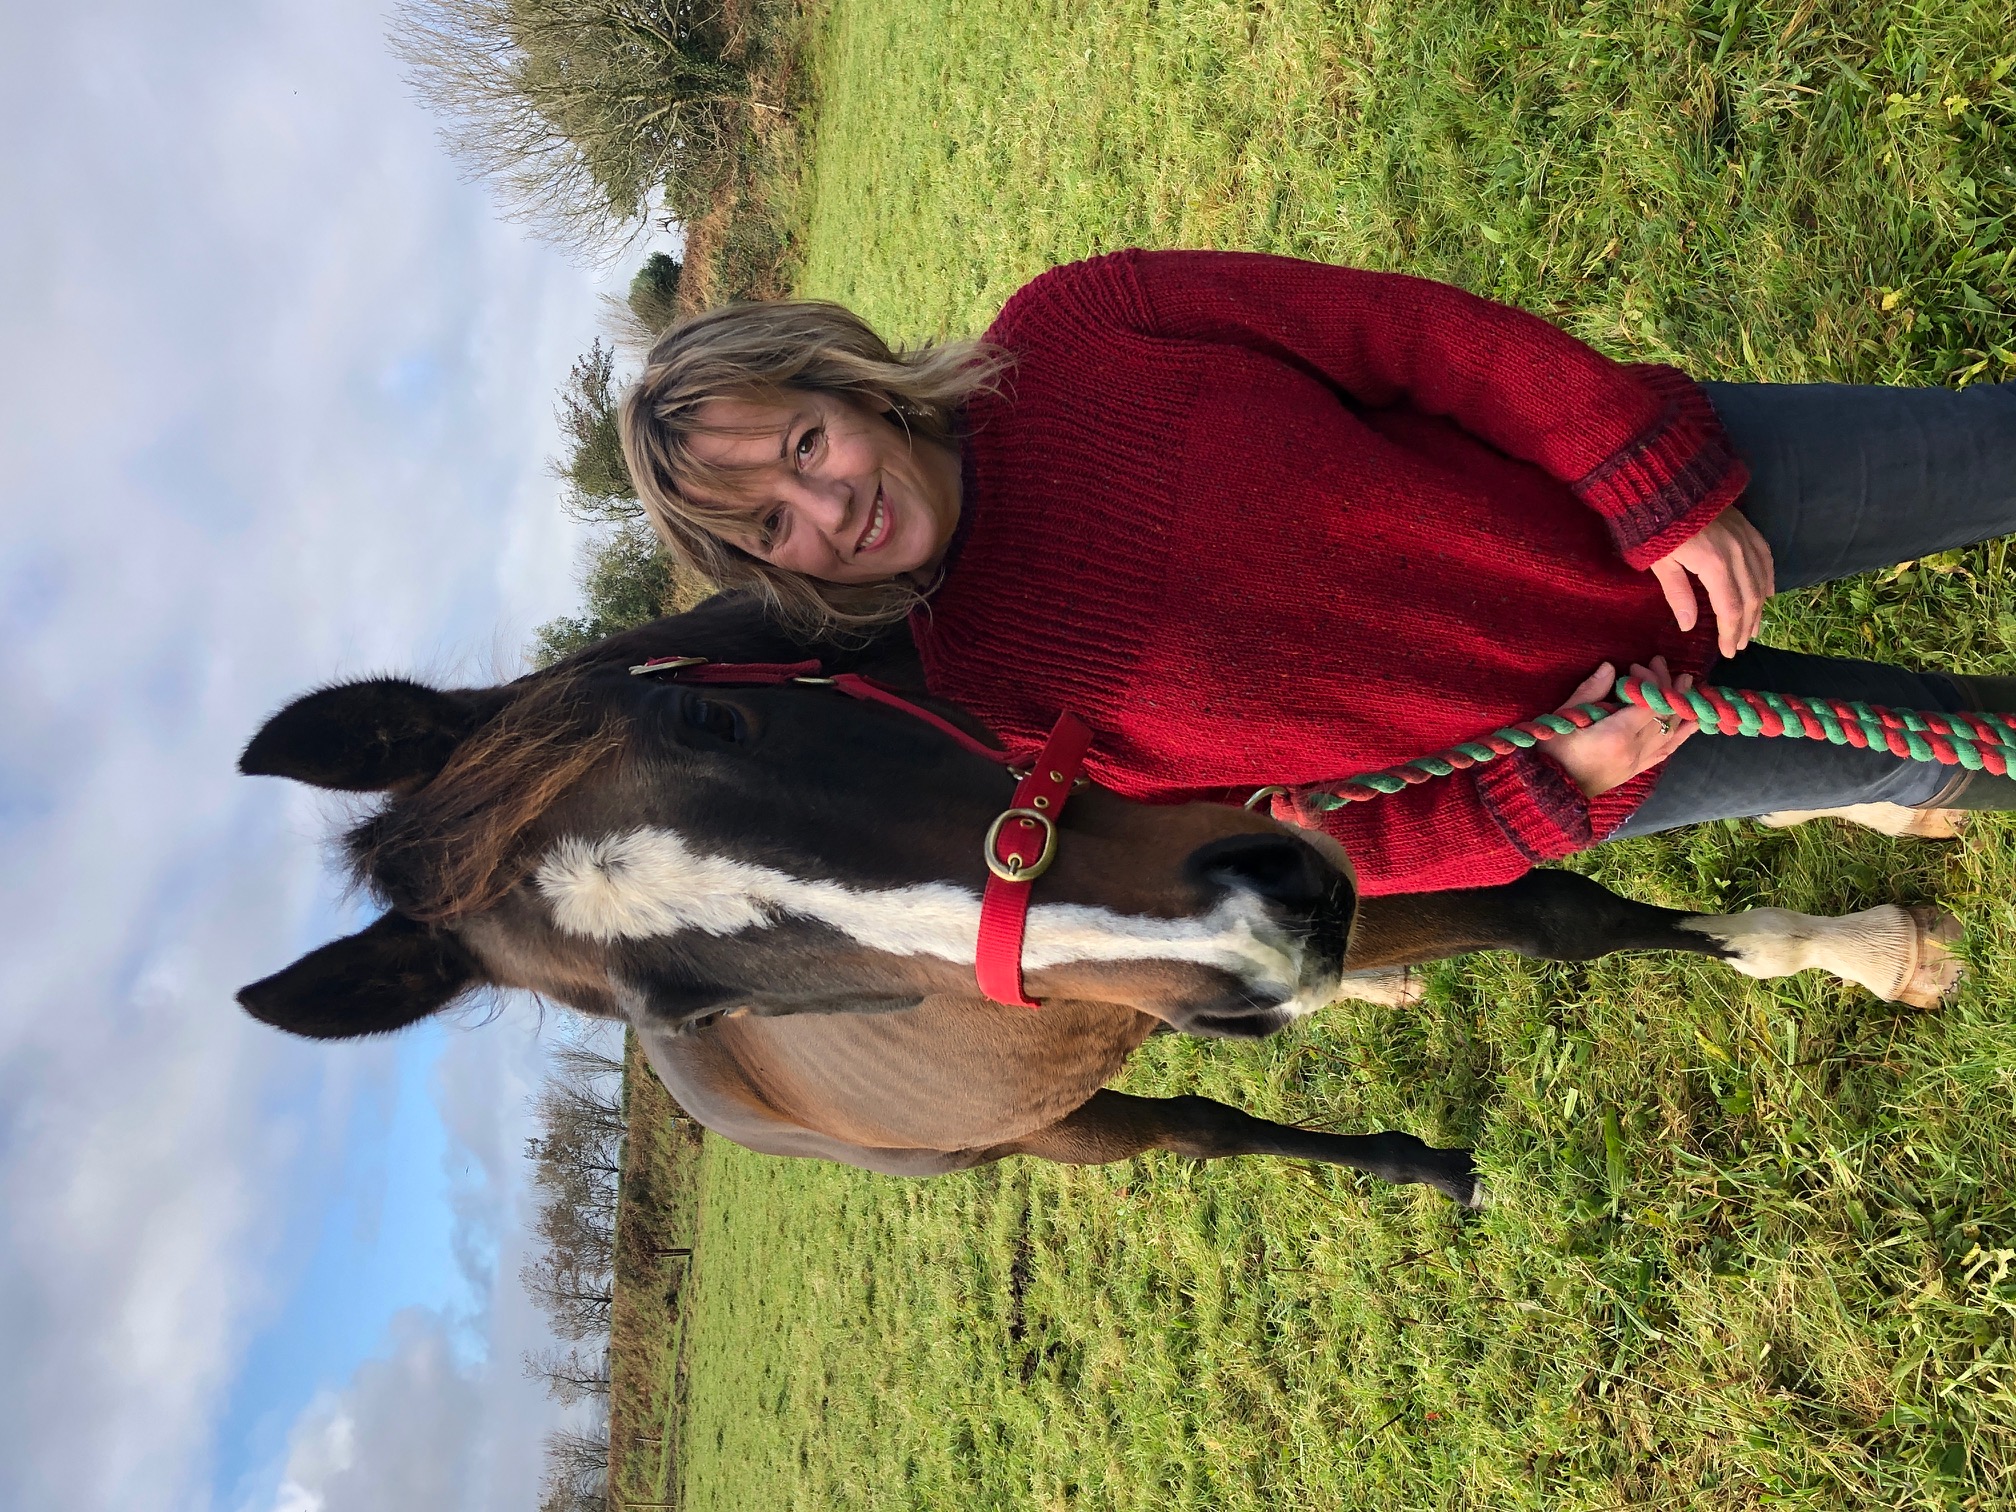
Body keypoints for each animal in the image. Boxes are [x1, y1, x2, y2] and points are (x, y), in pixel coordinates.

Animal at [235, 595, 1962, 1208]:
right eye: (709, 1003)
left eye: (711, 716)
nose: (1259, 934)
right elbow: (1576, 917)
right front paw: (1878, 951)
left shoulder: (1297, 831)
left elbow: (1571, 889)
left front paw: (1882, 868)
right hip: (1050, 1129)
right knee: (1205, 1130)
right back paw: (1415, 1161)